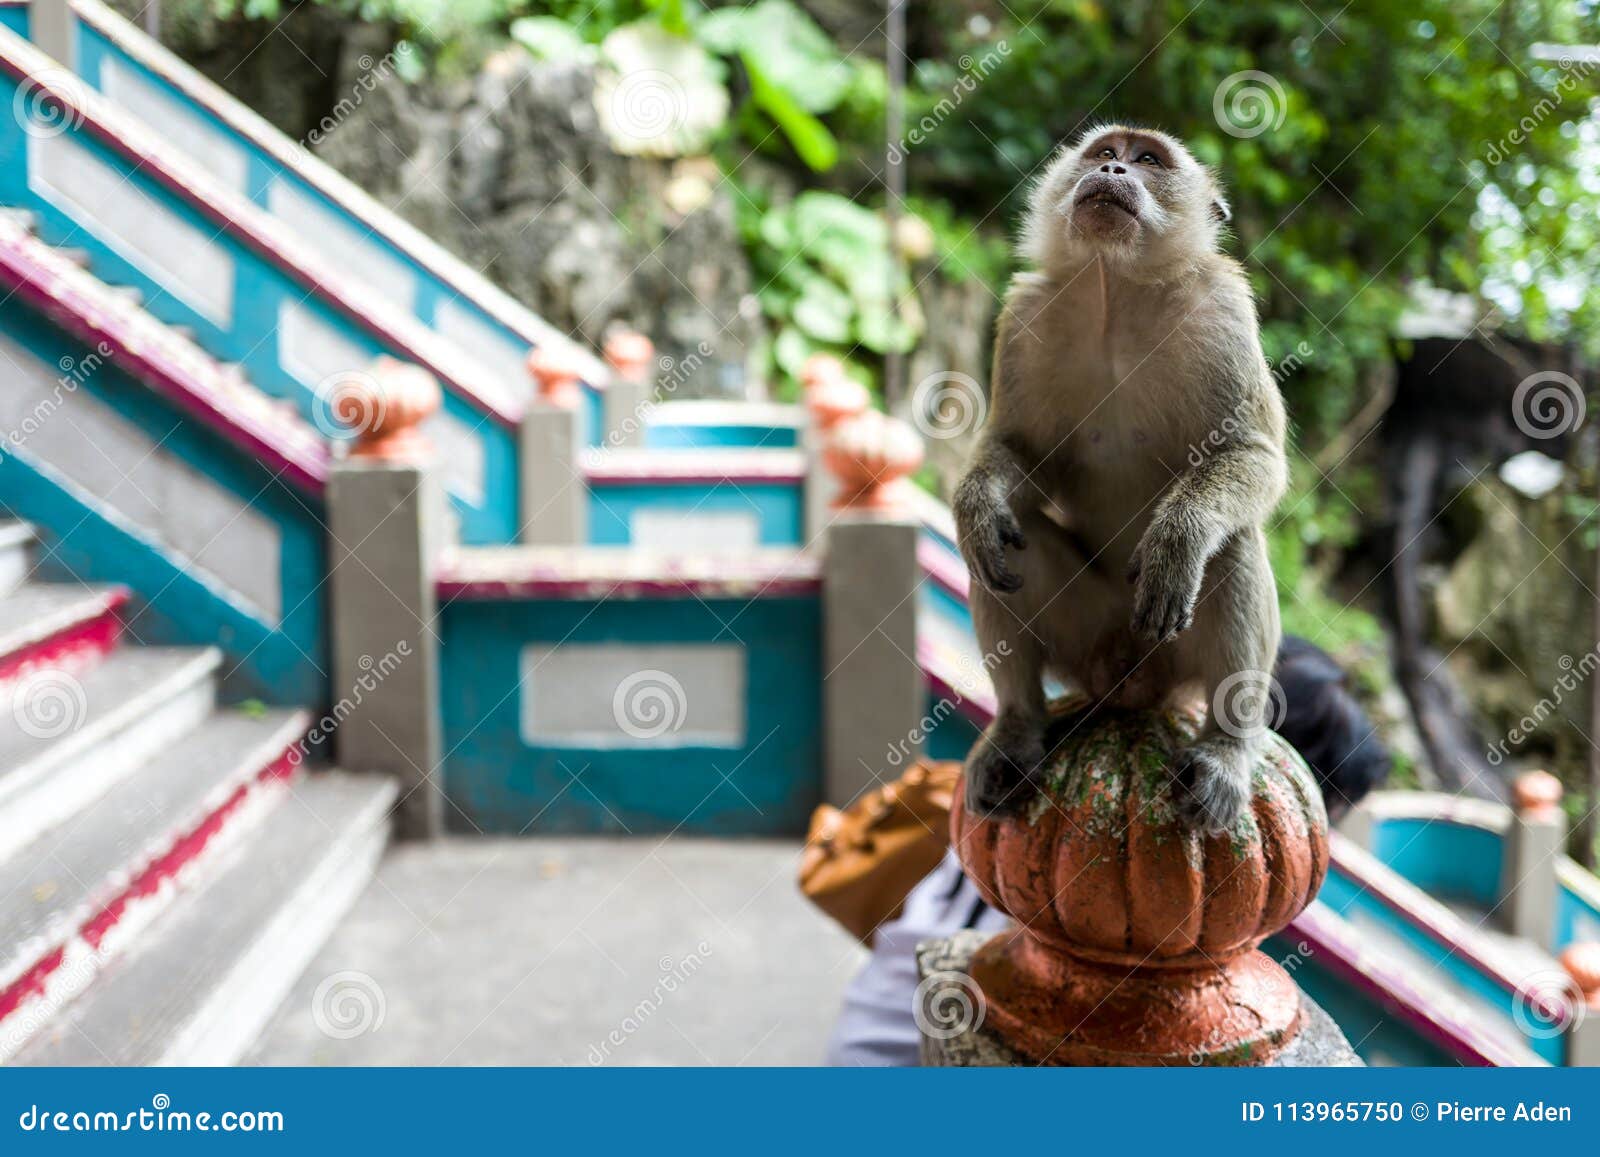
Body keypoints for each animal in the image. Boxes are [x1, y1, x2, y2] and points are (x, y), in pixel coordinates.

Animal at [947, 124, 1286, 832]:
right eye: (1104, 151)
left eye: (1148, 159)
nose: (1110, 170)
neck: (1115, 289)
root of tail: (1128, 683)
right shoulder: (1025, 316)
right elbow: (1021, 457)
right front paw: (978, 500)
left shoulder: (1225, 309)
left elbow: (1254, 454)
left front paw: (1181, 535)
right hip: (1088, 633)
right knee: (1001, 549)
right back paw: (1018, 726)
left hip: (1169, 653)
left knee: (1235, 543)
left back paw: (1226, 747)